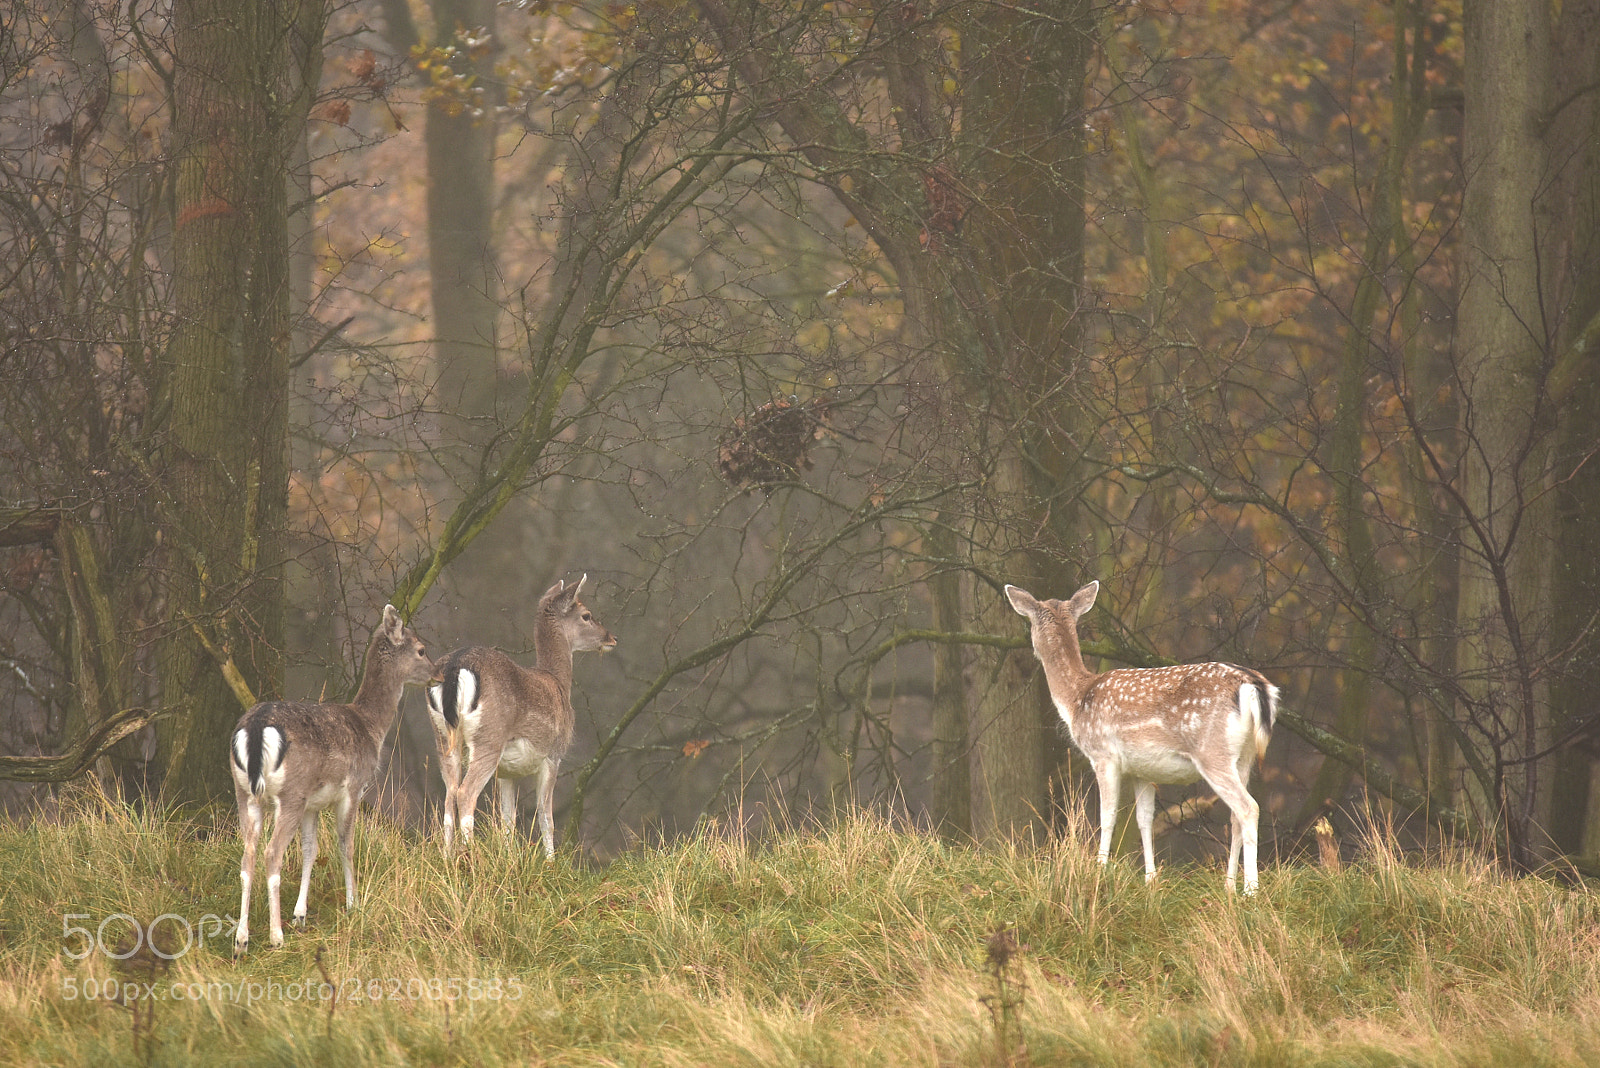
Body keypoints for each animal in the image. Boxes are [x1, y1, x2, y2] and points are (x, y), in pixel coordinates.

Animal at [225, 604, 435, 952]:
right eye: (420, 649)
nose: (438, 673)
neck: (371, 729)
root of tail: (254, 728)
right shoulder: (353, 788)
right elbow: (345, 844)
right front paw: (354, 904)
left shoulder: (313, 803)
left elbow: (311, 849)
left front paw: (300, 914)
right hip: (290, 793)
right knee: (272, 852)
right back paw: (276, 936)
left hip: (245, 792)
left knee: (248, 853)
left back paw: (242, 938)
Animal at [428, 575, 614, 856]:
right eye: (587, 615)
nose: (611, 637)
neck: (558, 683)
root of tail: (454, 667)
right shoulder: (553, 755)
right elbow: (546, 818)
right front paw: (550, 861)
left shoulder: (507, 772)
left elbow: (508, 820)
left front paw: (508, 856)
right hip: (489, 736)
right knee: (465, 793)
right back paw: (470, 855)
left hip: (443, 736)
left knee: (449, 795)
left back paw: (447, 857)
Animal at [1004, 578, 1280, 895]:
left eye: (1029, 623)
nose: (1030, 649)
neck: (1076, 701)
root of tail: (1254, 686)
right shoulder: (1142, 770)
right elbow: (1144, 819)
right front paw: (1150, 879)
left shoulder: (1103, 755)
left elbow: (1108, 815)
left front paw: (1100, 869)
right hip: (1245, 756)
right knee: (1236, 814)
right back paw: (1229, 886)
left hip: (1212, 752)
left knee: (1248, 808)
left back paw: (1251, 890)